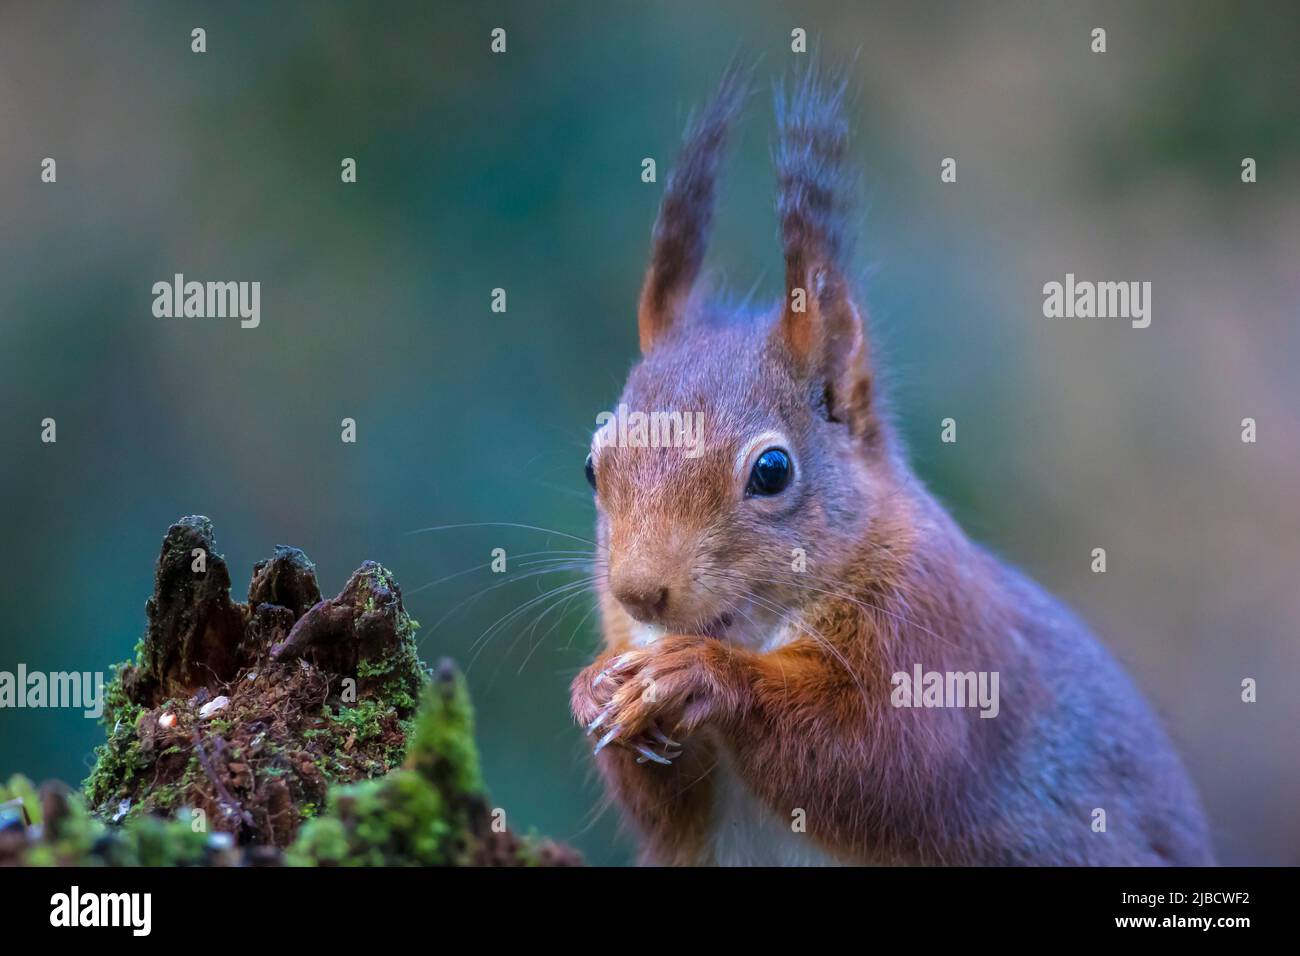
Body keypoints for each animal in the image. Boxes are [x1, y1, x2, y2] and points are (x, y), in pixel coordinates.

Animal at [570, 65, 1215, 866]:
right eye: (592, 466)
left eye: (773, 471)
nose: (639, 592)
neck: (751, 627)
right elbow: (667, 812)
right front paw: (593, 690)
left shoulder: (938, 636)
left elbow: (878, 754)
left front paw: (698, 675)